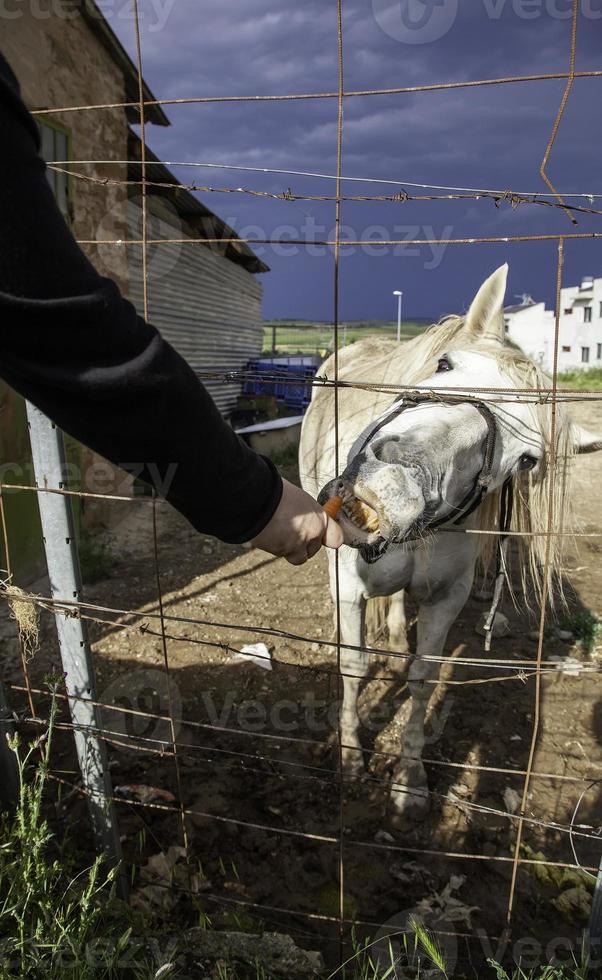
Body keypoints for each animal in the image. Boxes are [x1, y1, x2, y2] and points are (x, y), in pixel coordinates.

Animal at [300, 266, 600, 820]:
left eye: (528, 460)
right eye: (445, 364)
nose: (396, 482)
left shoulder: (446, 597)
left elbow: (423, 677)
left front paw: (410, 780)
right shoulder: (348, 586)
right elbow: (352, 665)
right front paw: (350, 756)